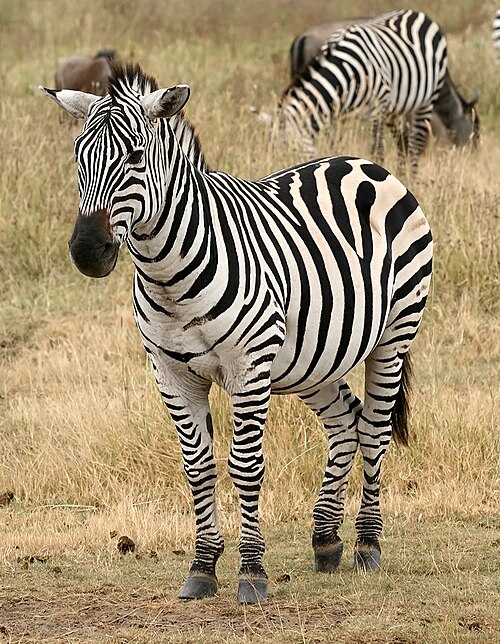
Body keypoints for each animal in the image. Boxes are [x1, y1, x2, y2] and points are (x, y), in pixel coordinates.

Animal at [40, 61, 433, 604]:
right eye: (79, 158)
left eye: (136, 157)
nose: (86, 252)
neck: (169, 276)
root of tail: (365, 164)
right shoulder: (171, 374)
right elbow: (197, 467)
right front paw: (203, 567)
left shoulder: (249, 365)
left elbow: (245, 465)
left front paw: (251, 572)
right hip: (313, 358)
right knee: (345, 422)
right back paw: (326, 540)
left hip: (394, 333)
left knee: (374, 428)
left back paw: (368, 545)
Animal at [271, 9, 448, 173]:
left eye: (291, 151)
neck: (348, 72)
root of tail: (416, 13)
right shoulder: (335, 112)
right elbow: (333, 144)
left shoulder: (378, 105)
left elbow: (377, 149)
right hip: (394, 107)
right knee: (403, 139)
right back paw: (402, 174)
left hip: (427, 99)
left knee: (416, 142)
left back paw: (412, 177)